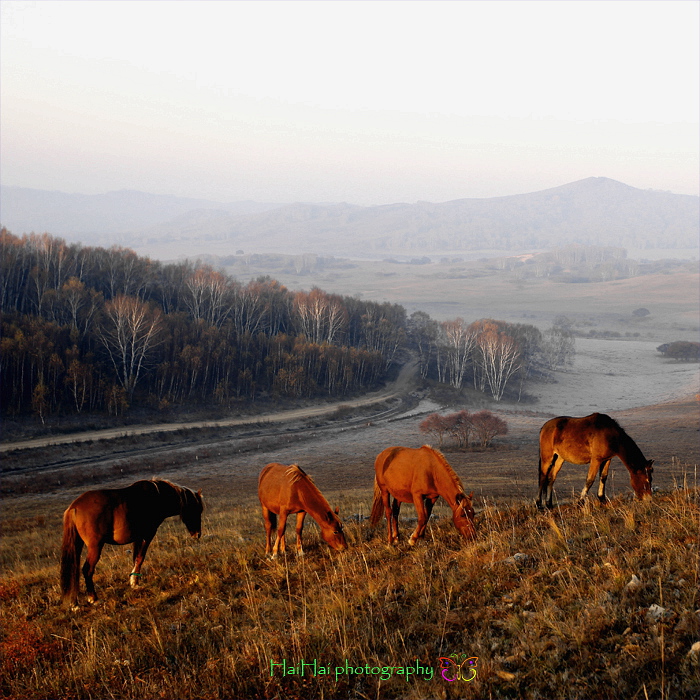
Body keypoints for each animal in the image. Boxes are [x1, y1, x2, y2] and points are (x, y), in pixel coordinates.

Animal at [60, 478, 204, 604]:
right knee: (87, 570)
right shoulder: (147, 535)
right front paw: (135, 583)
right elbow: (140, 558)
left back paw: (74, 604)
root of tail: (74, 507)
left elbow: (135, 558)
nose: (197, 534)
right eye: (196, 509)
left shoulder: (138, 538)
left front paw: (133, 581)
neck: (157, 496)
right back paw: (93, 599)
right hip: (95, 546)